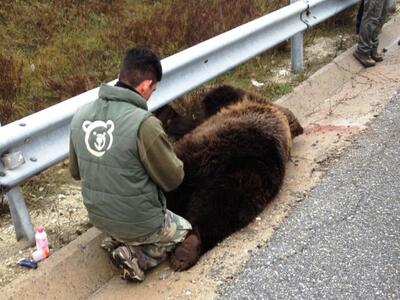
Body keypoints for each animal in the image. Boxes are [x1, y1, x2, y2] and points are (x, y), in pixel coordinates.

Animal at [156, 85, 304, 270]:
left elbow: (214, 98)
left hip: (195, 161)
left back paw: (184, 252)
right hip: (247, 179)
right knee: (223, 212)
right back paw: (187, 250)